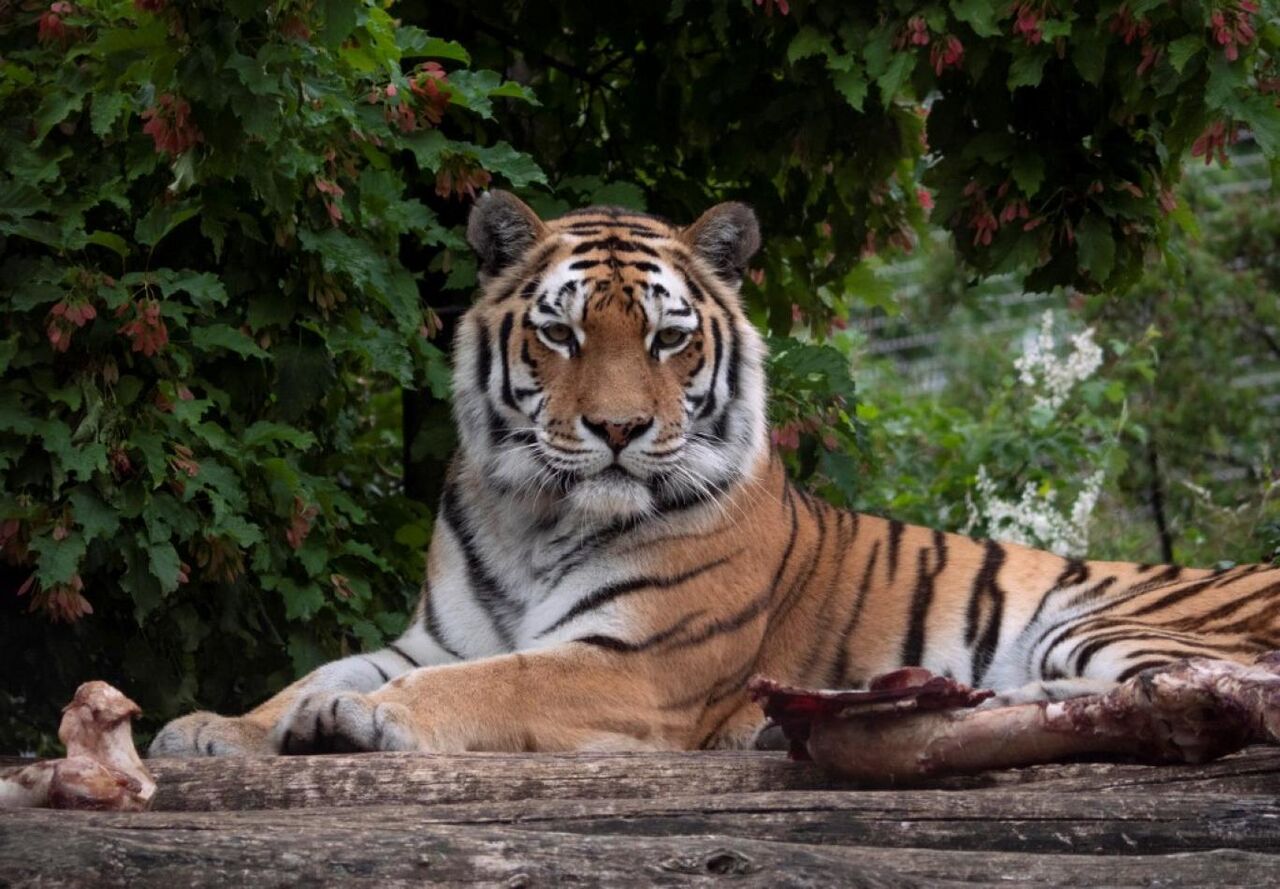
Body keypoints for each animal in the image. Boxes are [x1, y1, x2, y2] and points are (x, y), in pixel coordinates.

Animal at [152, 193, 1280, 757]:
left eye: (667, 338)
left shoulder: (634, 662)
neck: (537, 517)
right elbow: (319, 670)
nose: (615, 428)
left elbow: (491, 681)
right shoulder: (428, 636)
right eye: (560, 332)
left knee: (1218, 695)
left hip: (1108, 622)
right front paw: (211, 728)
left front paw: (366, 721)